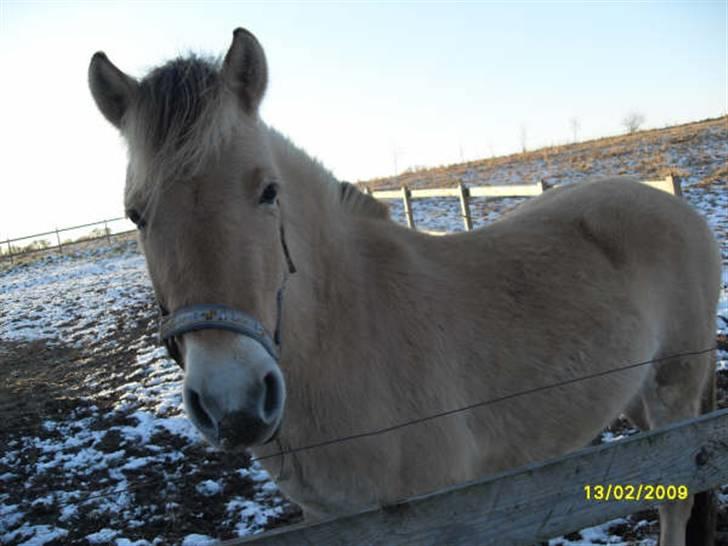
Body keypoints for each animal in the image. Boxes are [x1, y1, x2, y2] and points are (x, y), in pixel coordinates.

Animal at [88, 28, 720, 540]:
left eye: (268, 191)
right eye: (135, 214)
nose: (234, 403)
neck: (353, 332)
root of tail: (675, 205)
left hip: (676, 392)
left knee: (676, 499)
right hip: (634, 396)